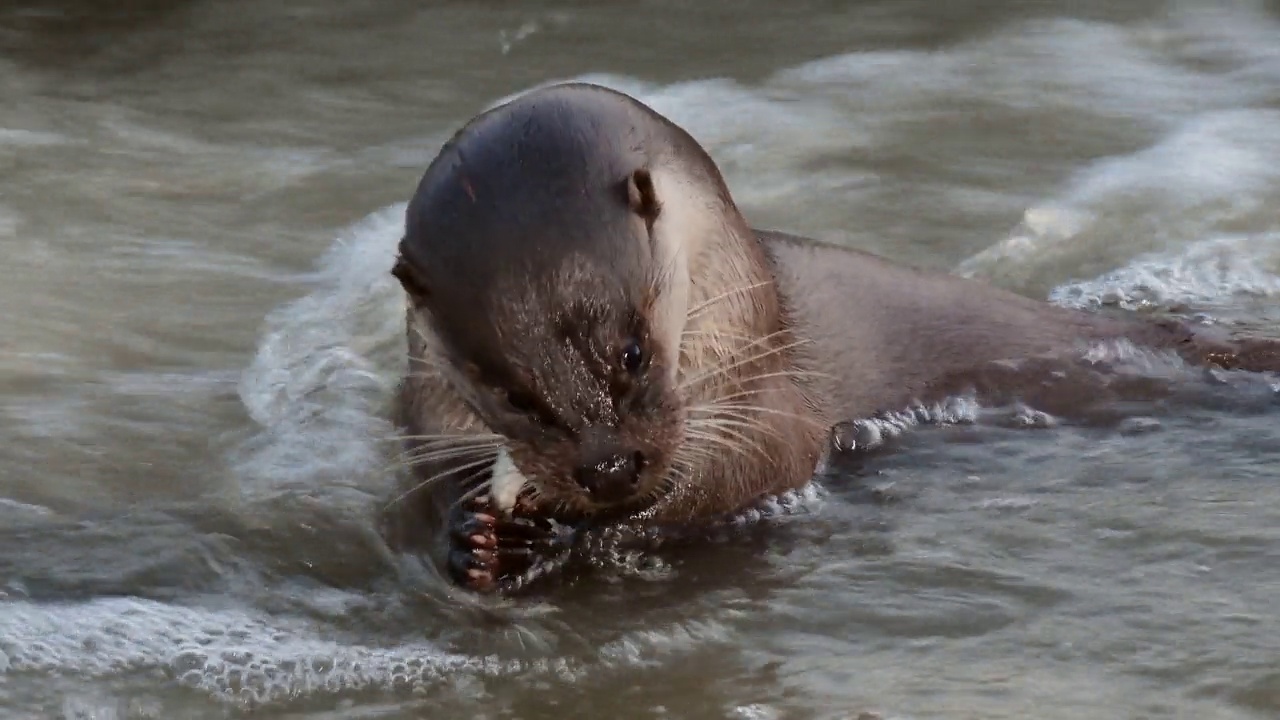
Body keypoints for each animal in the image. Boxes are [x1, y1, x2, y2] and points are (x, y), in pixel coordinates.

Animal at [381, 81, 1280, 591]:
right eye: (509, 393)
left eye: (633, 351)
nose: (607, 467)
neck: (751, 324)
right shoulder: (426, 408)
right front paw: (467, 537)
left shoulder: (767, 412)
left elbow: (740, 481)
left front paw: (568, 536)